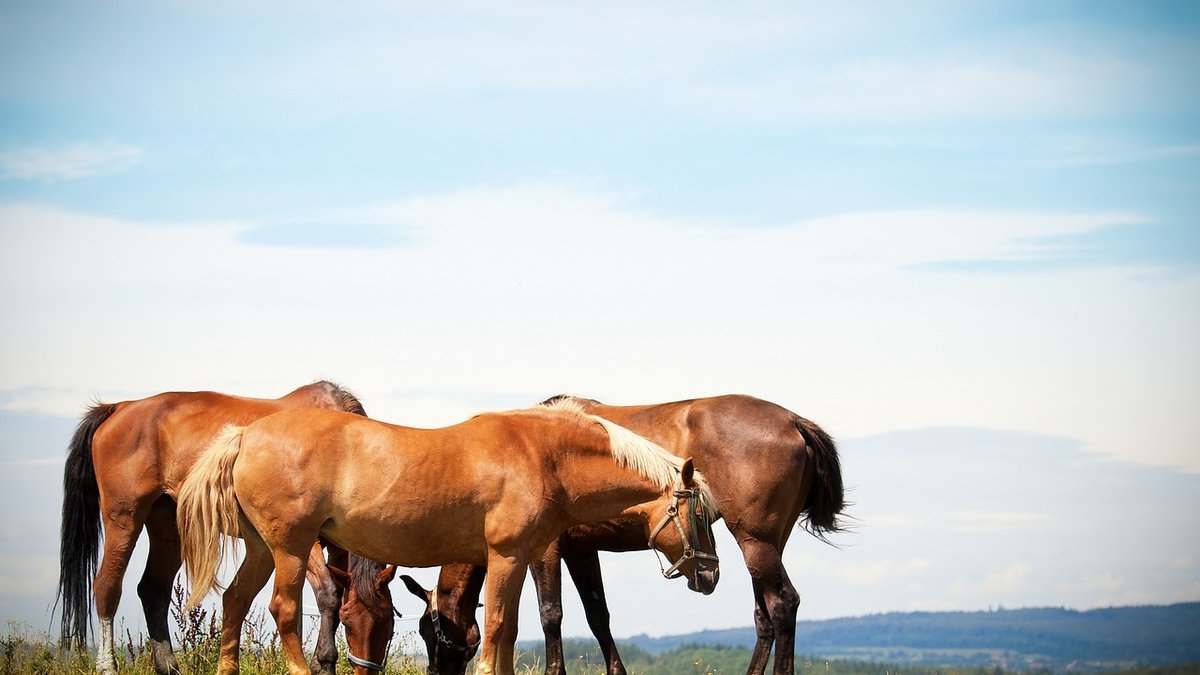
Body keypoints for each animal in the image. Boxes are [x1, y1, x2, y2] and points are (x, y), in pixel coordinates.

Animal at [56, 380, 368, 675]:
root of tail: (119, 407)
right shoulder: (300, 540)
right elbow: (328, 594)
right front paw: (323, 662)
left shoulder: (335, 547)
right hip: (123, 519)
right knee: (107, 587)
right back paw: (107, 666)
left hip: (168, 528)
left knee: (153, 590)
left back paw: (168, 667)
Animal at [175, 400, 720, 675]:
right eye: (701, 513)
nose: (712, 575)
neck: (543, 456)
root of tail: (245, 435)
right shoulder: (506, 557)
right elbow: (498, 629)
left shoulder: (517, 560)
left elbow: (508, 632)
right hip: (290, 548)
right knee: (282, 611)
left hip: (262, 549)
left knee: (234, 603)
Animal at [372, 394, 845, 675]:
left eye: (430, 632)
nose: (435, 673)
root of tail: (794, 421)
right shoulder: (582, 551)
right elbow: (598, 616)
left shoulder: (545, 552)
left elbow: (551, 615)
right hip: (767, 545)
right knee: (765, 614)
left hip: (756, 542)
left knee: (783, 604)